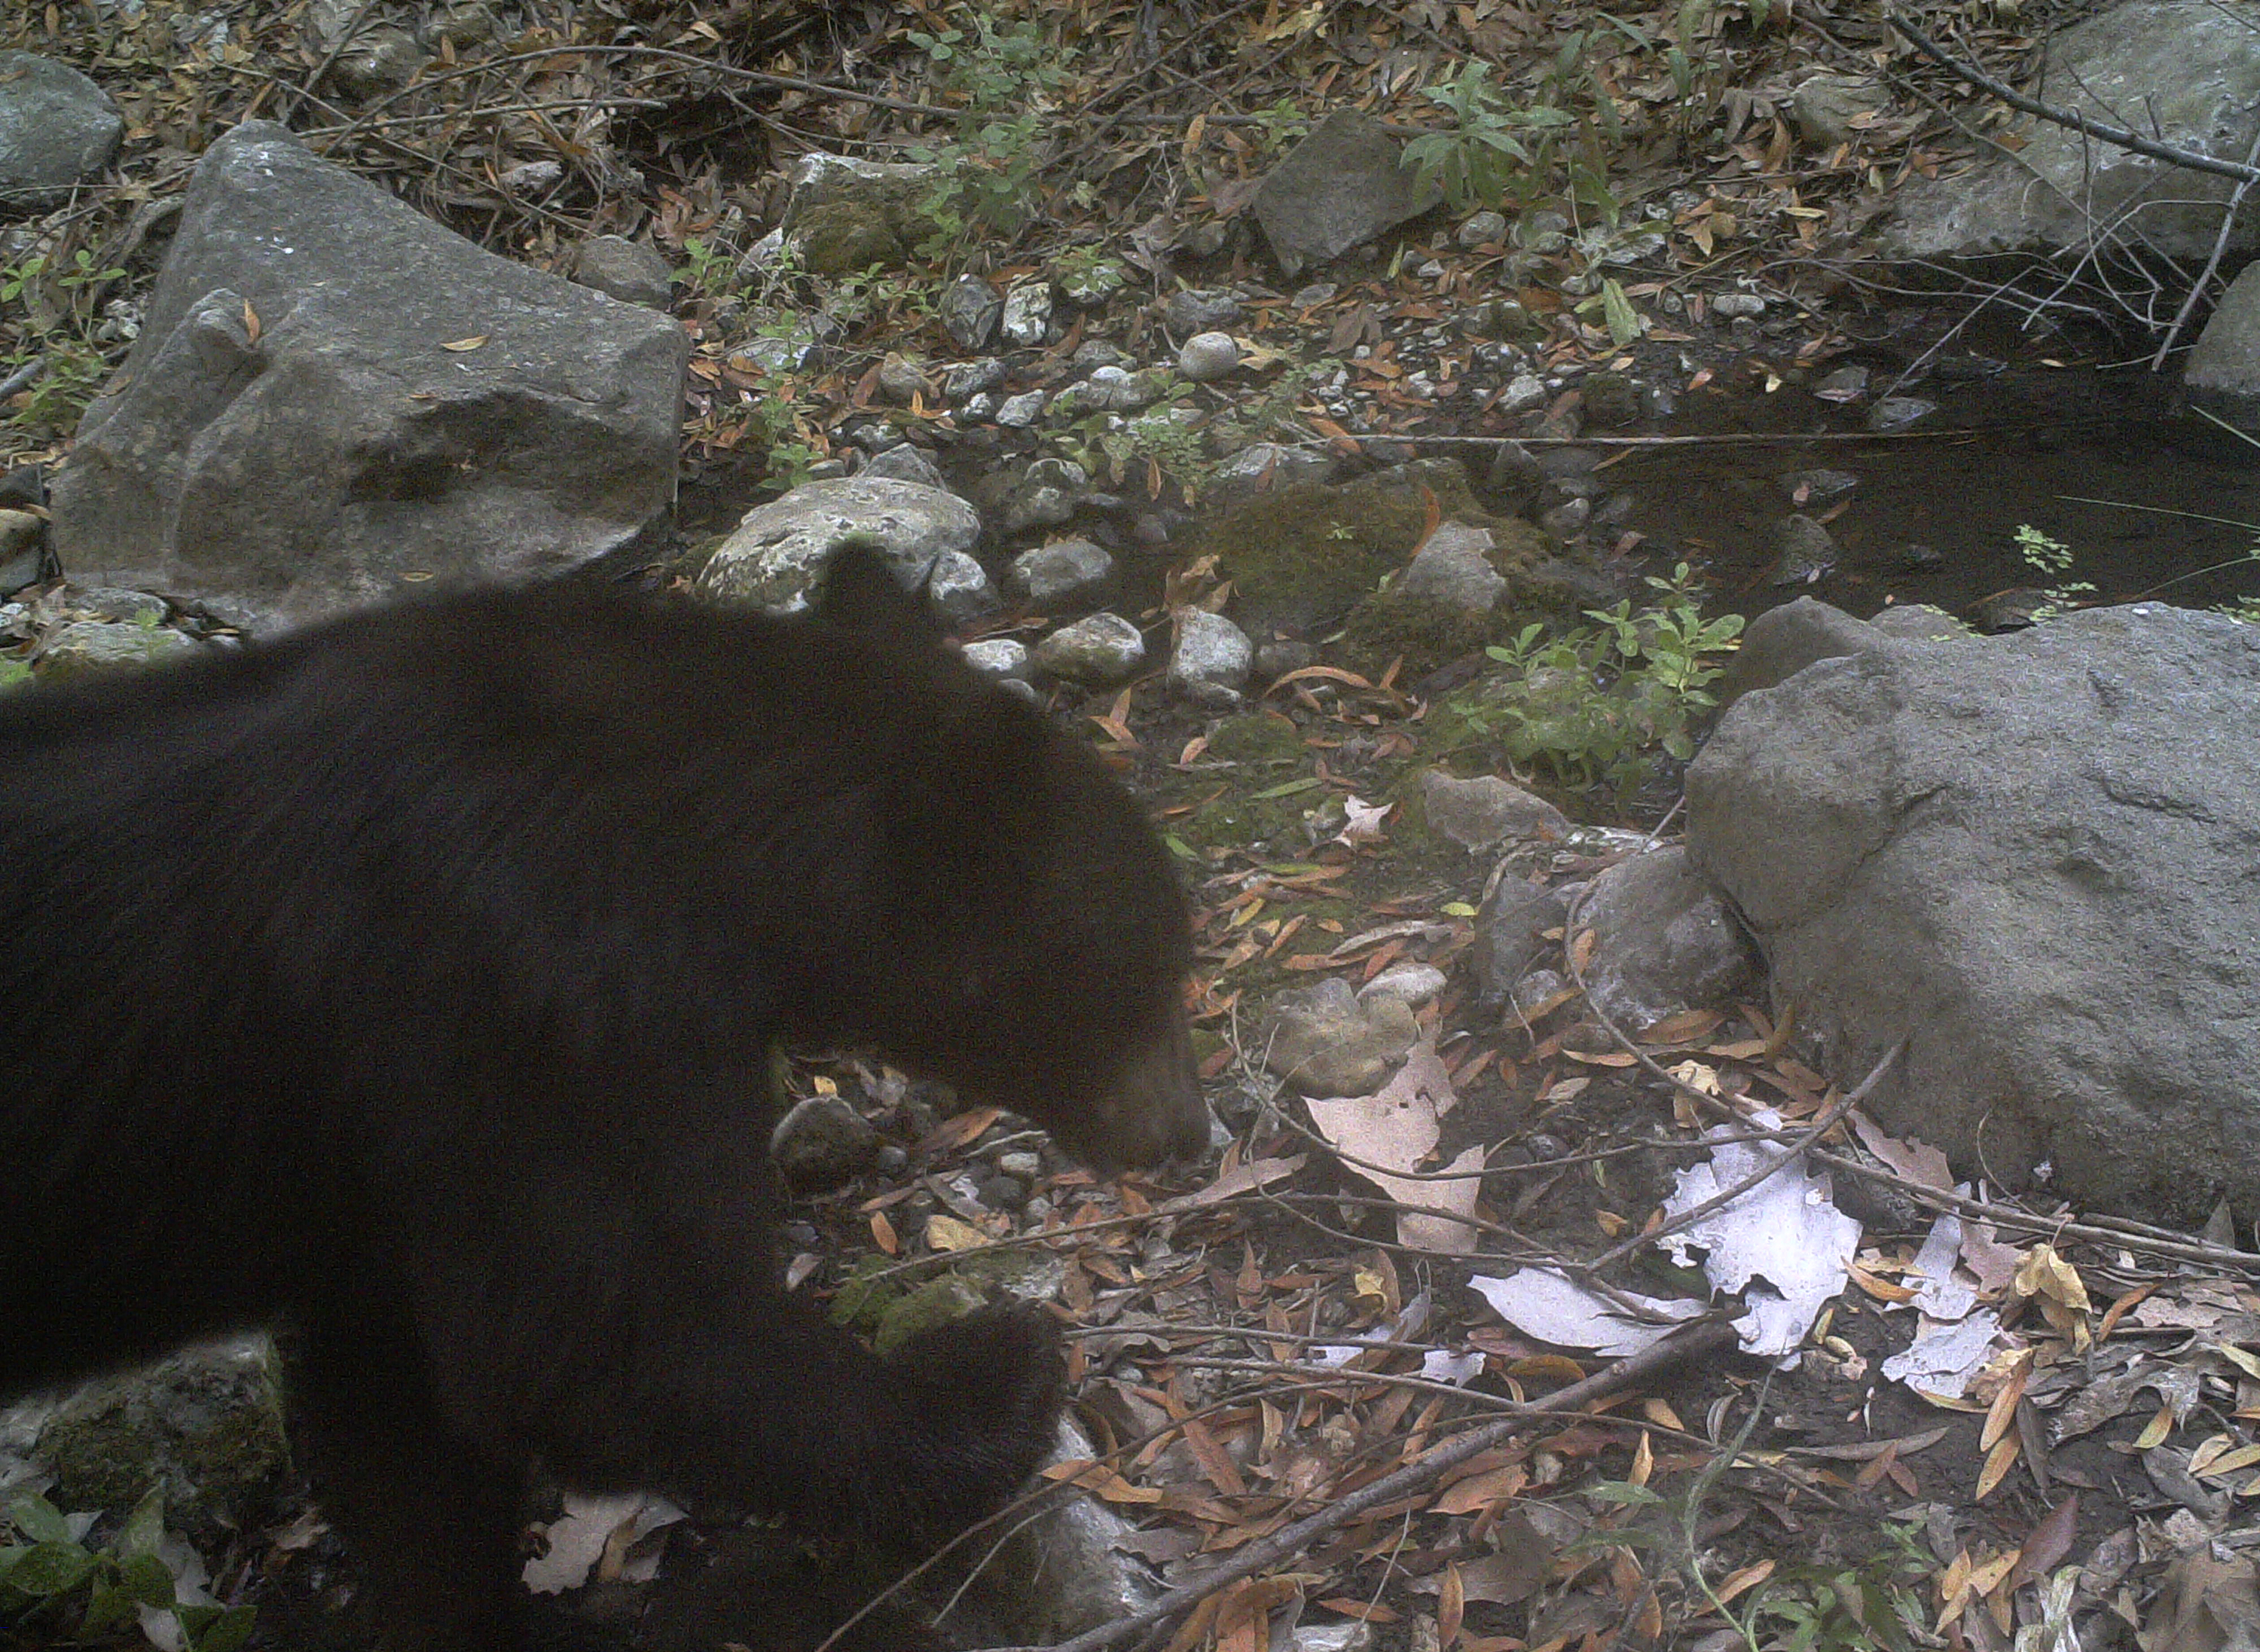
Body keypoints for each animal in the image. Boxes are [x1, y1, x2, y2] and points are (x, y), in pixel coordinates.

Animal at [0, 544, 1208, 1649]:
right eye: (1150, 966)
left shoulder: (386, 1175)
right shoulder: (536, 1002)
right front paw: (998, 1376)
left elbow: (403, 1411)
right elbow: (608, 1336)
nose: (1191, 1133)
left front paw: (463, 1608)